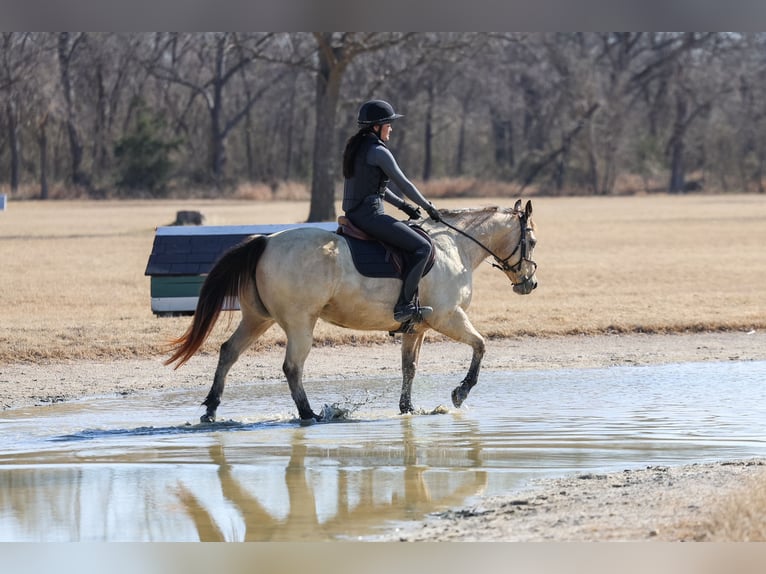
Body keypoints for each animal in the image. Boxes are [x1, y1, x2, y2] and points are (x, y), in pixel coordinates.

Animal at [165, 199, 538, 423]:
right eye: (531, 241)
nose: (529, 284)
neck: (454, 246)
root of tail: (266, 241)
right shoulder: (449, 317)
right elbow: (481, 345)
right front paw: (460, 392)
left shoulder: (417, 328)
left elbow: (409, 368)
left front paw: (407, 409)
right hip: (300, 323)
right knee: (292, 367)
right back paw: (309, 413)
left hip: (258, 319)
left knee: (228, 352)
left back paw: (211, 409)